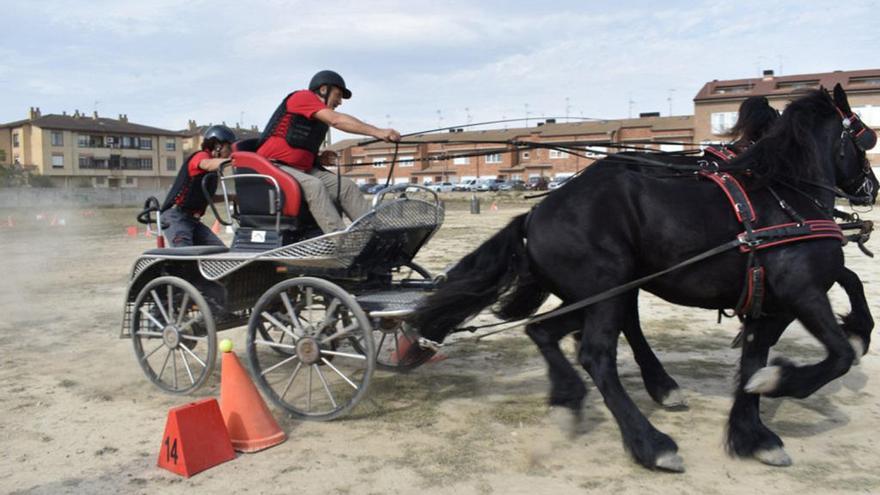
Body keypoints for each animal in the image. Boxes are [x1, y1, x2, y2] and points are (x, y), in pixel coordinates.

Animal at [410, 86, 876, 472]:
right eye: (864, 136)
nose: (870, 187)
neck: (785, 199)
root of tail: (536, 213)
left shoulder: (770, 305)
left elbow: (754, 360)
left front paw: (752, 435)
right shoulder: (802, 292)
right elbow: (837, 354)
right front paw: (786, 379)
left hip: (601, 293)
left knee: (544, 330)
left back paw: (572, 396)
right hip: (606, 291)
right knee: (596, 354)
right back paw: (651, 442)